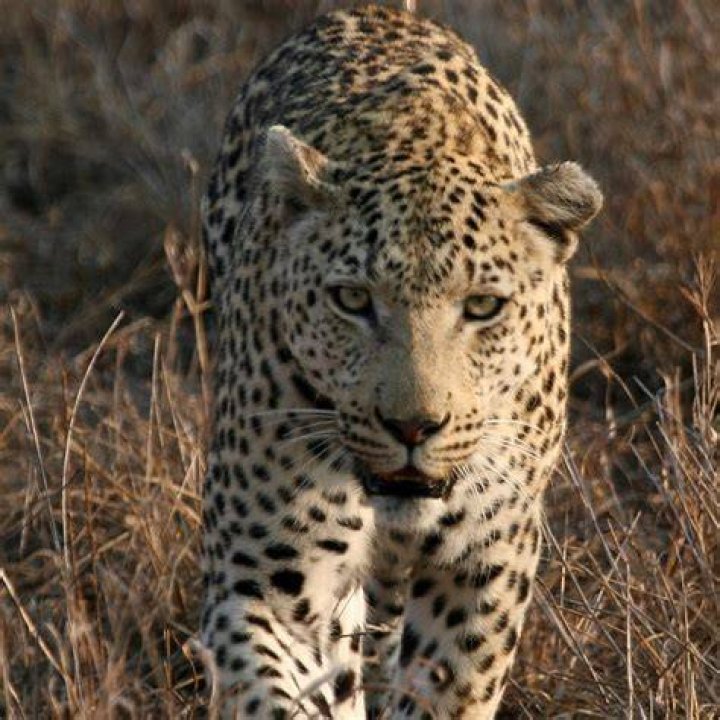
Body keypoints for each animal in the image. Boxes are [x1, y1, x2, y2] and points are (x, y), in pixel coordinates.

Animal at [199, 5, 602, 719]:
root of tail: (371, 11)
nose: (412, 427)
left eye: (482, 305)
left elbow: (450, 691)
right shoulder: (263, 583)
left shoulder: (483, 570)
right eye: (353, 299)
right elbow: (277, 694)